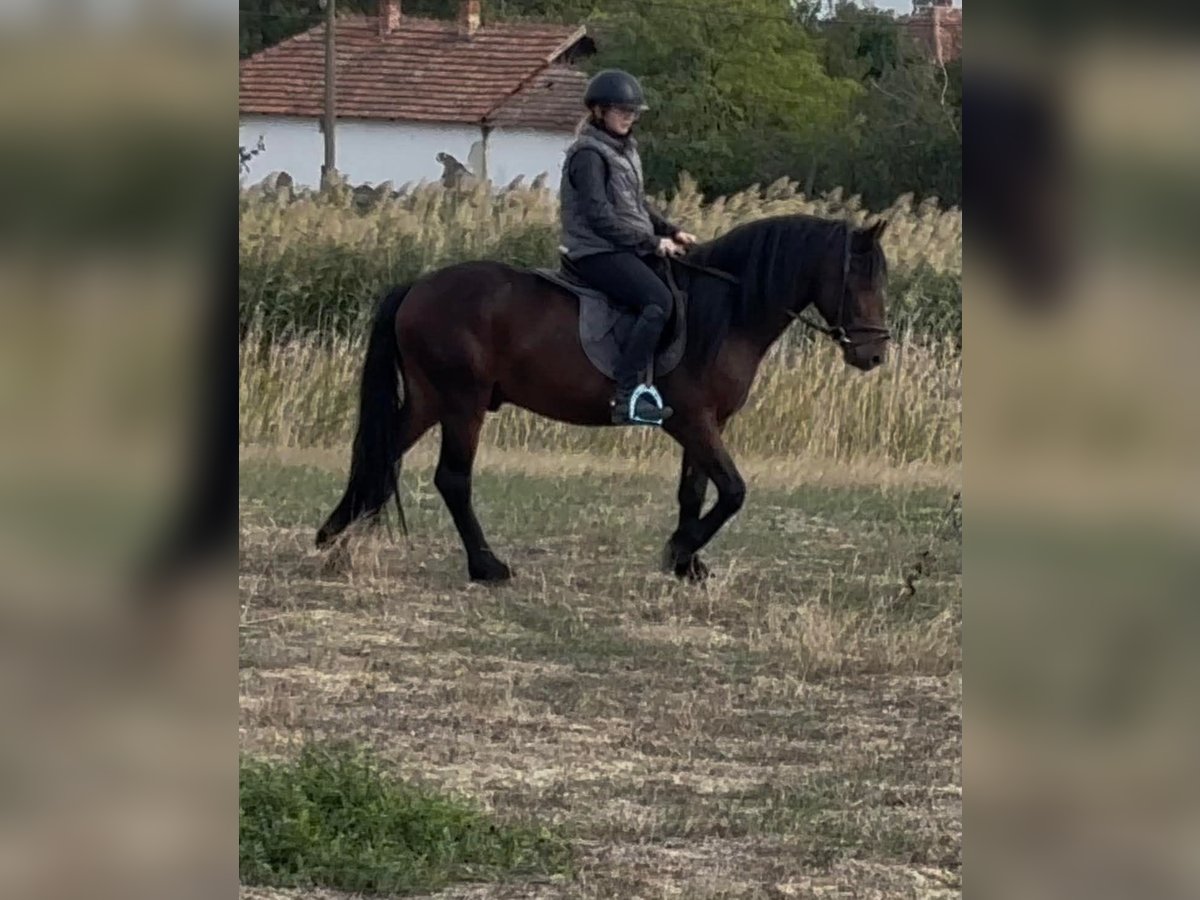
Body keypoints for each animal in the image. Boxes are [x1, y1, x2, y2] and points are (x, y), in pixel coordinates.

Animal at [316, 214, 891, 582]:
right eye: (856, 280)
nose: (873, 354)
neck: (726, 311)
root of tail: (417, 287)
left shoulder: (706, 423)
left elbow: (694, 491)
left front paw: (687, 564)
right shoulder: (693, 420)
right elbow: (732, 491)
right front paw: (680, 550)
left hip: (428, 399)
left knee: (379, 453)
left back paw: (333, 540)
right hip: (462, 403)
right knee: (452, 479)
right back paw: (487, 567)